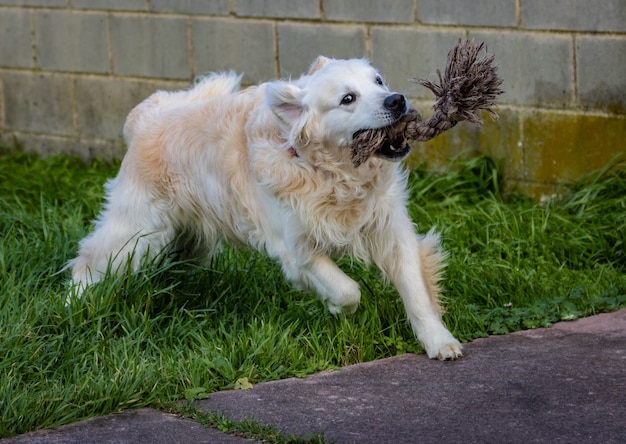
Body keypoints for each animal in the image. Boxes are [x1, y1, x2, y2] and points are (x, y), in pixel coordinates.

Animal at [68, 55, 460, 360]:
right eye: (347, 98)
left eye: (378, 80)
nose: (396, 100)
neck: (329, 174)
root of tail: (146, 116)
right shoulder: (296, 249)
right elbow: (348, 290)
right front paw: (337, 307)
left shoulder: (391, 228)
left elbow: (416, 291)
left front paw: (439, 341)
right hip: (135, 233)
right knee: (89, 260)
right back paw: (75, 305)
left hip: (188, 239)